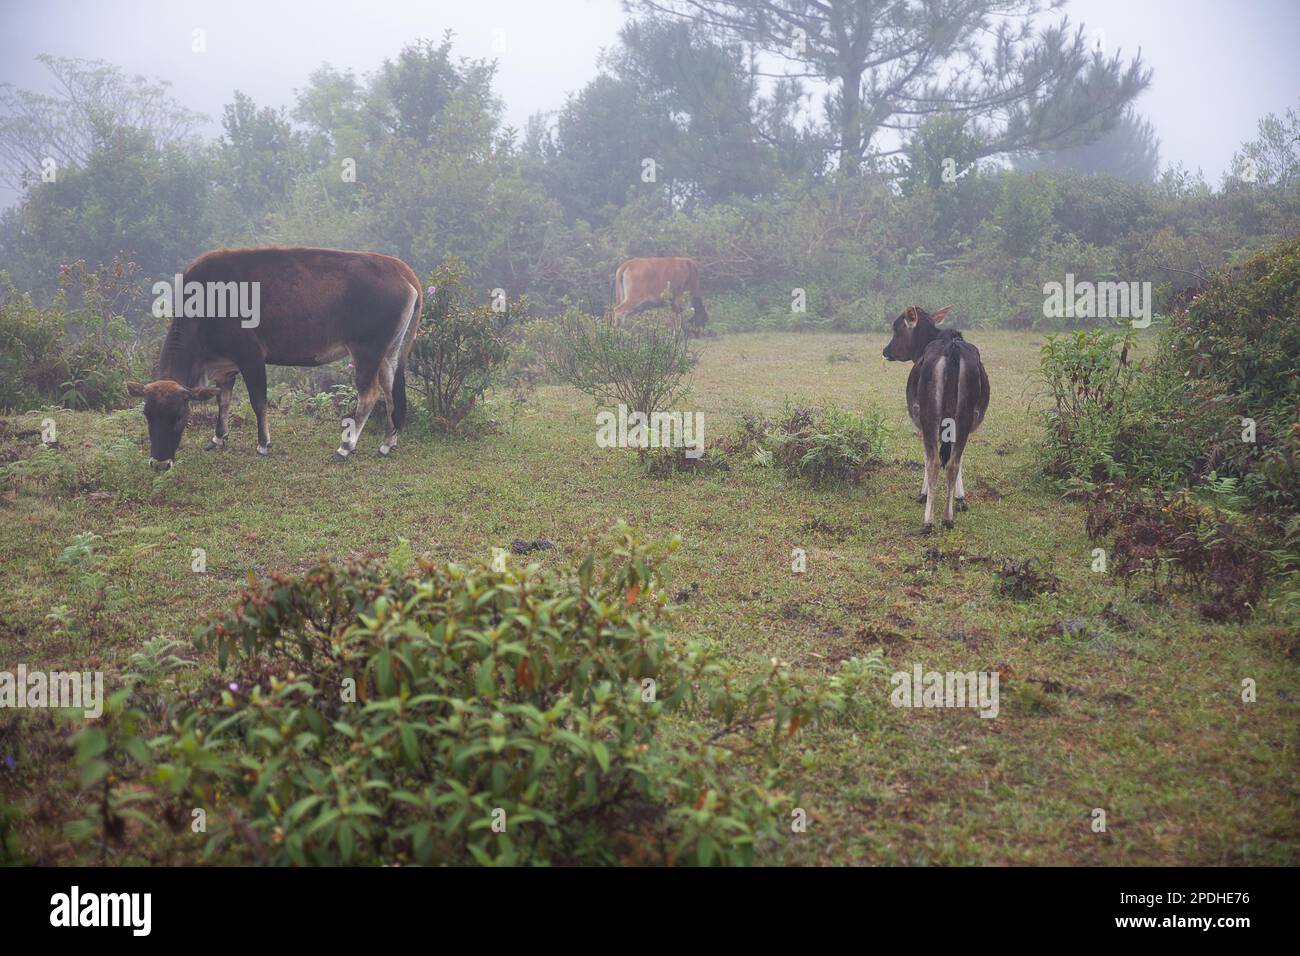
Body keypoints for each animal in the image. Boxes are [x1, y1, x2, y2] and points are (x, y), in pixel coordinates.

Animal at [128, 248, 421, 468]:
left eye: (179, 416)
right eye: (147, 415)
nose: (159, 463)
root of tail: (398, 267)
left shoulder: (252, 356)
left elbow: (258, 401)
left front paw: (262, 444)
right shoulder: (225, 366)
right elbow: (224, 400)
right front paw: (218, 437)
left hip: (366, 351)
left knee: (369, 395)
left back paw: (345, 447)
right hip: (389, 352)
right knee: (391, 392)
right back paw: (386, 444)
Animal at [883, 304, 993, 535]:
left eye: (896, 328)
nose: (885, 351)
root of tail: (952, 351)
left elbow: (927, 458)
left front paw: (923, 493)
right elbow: (957, 457)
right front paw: (961, 498)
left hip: (929, 414)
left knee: (934, 461)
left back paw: (928, 521)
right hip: (965, 415)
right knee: (952, 462)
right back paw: (947, 517)